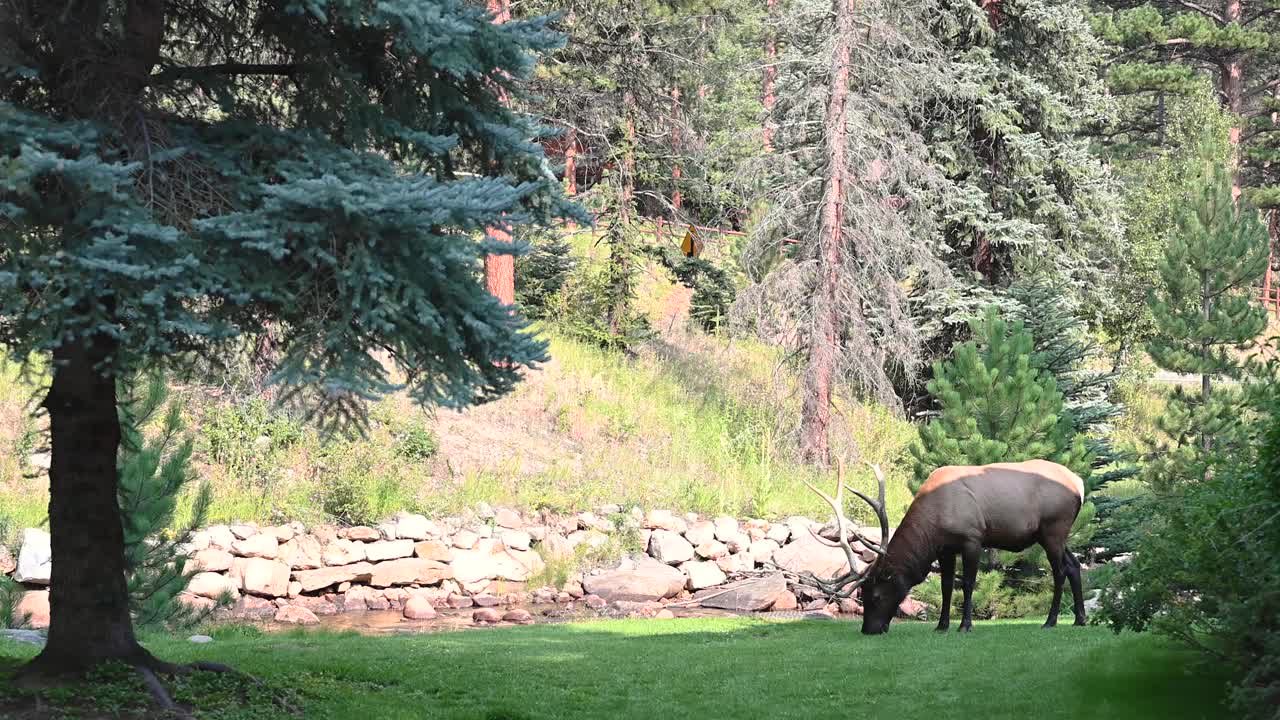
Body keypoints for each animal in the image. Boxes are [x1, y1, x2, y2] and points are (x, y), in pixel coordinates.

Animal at [788, 456, 1090, 630]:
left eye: (875, 595)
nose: (868, 629)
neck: (933, 525)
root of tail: (1080, 483)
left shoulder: (972, 538)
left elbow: (967, 583)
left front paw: (965, 625)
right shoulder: (945, 549)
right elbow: (946, 587)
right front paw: (942, 625)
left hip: (1053, 529)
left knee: (1059, 571)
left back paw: (1050, 621)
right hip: (1055, 535)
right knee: (1074, 565)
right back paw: (1080, 619)